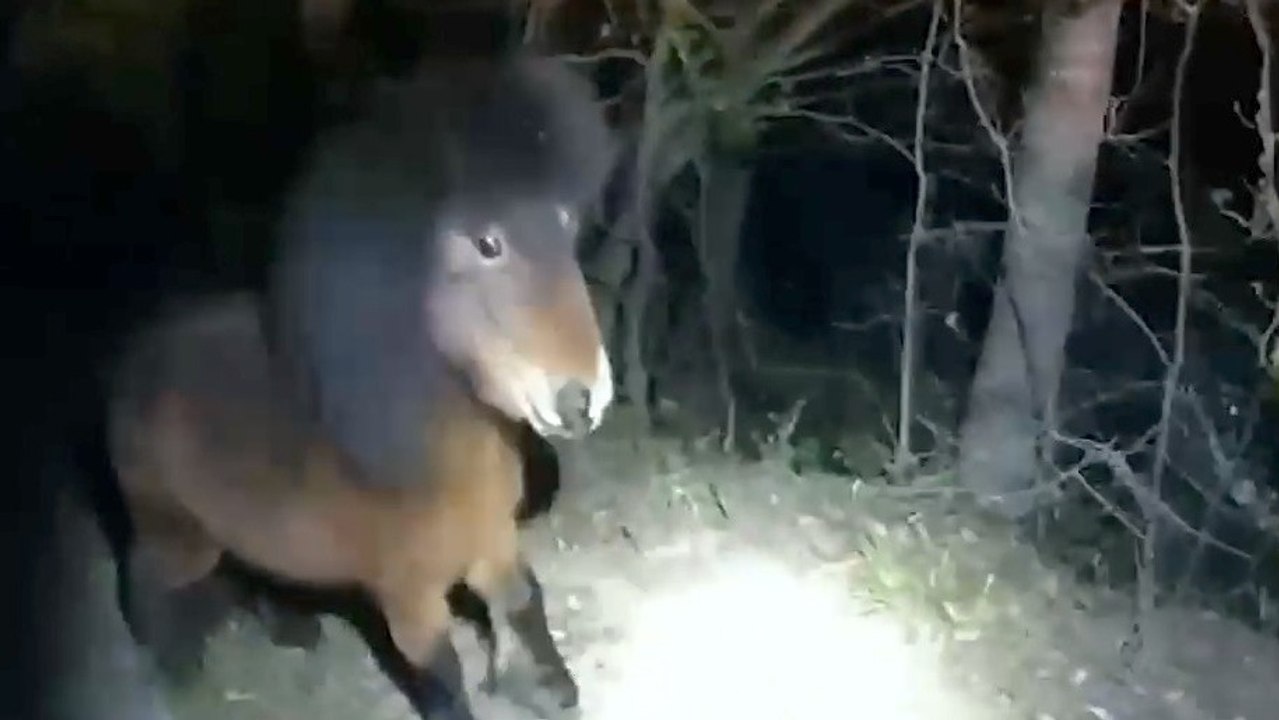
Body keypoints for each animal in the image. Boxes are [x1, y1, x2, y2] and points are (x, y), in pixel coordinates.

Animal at [107, 53, 617, 720]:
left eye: (565, 224)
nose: (582, 400)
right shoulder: (409, 599)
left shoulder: (493, 545)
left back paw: (289, 630)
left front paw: (550, 687)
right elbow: (442, 678)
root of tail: (133, 361)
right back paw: (177, 671)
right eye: (488, 244)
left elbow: (525, 603)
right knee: (147, 581)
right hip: (177, 533)